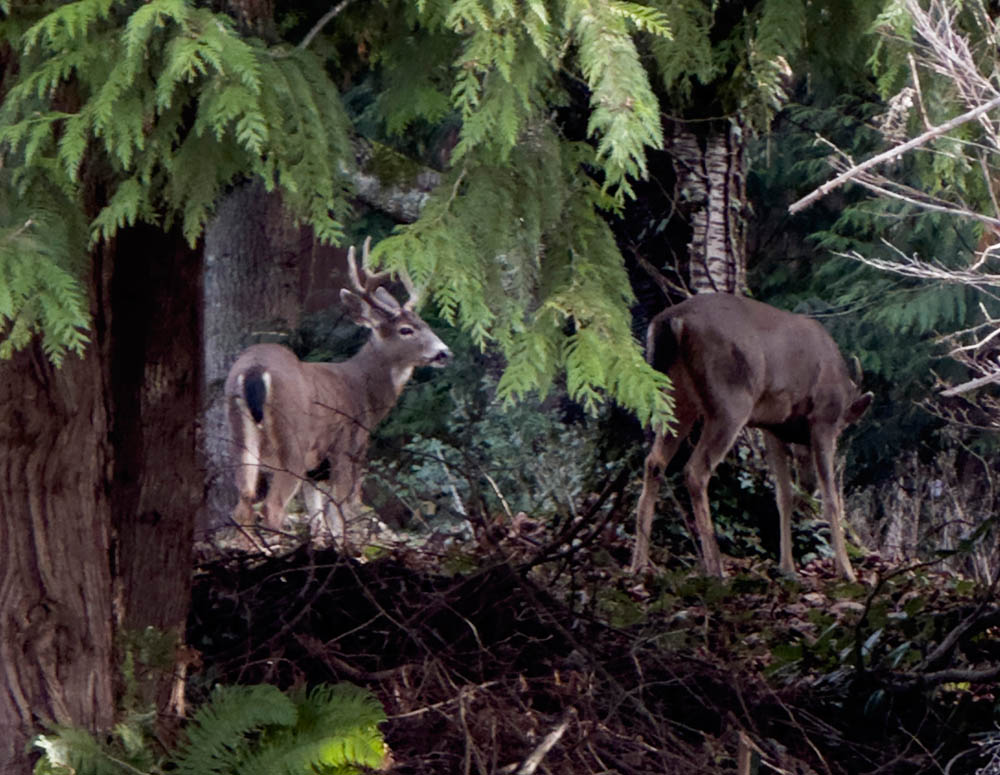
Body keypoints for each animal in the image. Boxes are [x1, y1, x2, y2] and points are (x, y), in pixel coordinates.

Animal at [225, 237, 451, 547]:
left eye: (425, 324)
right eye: (406, 330)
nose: (444, 353)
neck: (362, 390)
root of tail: (254, 369)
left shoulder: (315, 469)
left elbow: (317, 517)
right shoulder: (347, 449)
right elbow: (339, 514)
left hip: (240, 432)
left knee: (243, 503)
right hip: (293, 439)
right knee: (273, 506)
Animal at [630, 292, 873, 581]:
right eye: (841, 429)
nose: (807, 482)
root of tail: (674, 321)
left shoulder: (772, 428)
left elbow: (783, 497)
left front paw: (787, 567)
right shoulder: (823, 419)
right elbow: (832, 498)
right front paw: (846, 571)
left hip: (675, 398)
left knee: (654, 462)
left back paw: (640, 563)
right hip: (731, 402)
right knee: (695, 471)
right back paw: (716, 569)